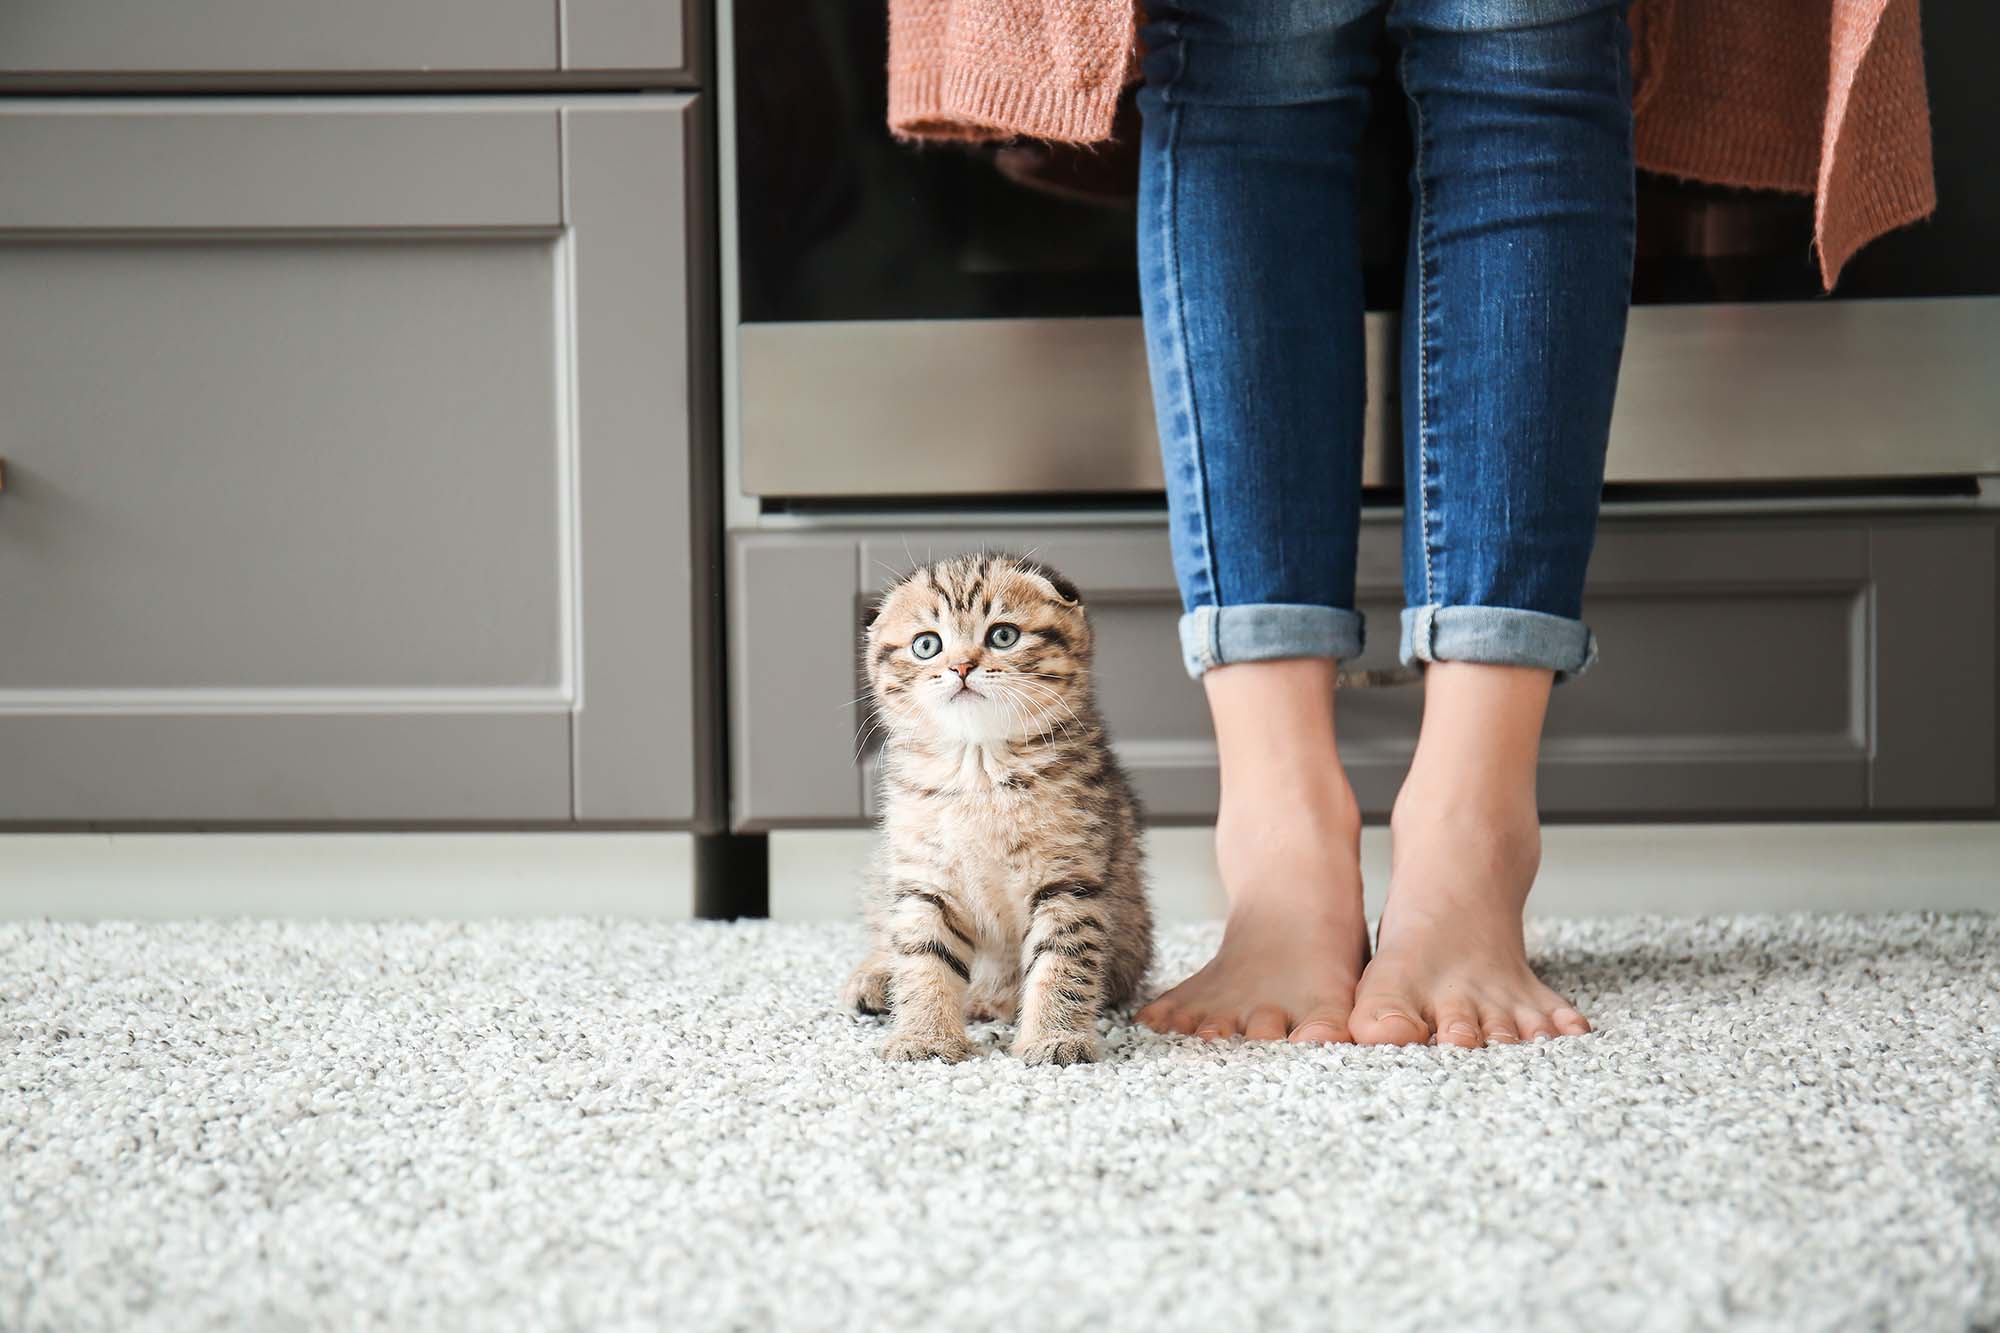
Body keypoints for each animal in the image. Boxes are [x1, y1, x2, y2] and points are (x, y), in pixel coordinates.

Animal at [844, 548, 1160, 1056]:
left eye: (1003, 636)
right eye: (926, 645)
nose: (961, 667)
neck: (979, 769)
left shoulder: (1067, 876)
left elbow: (1062, 959)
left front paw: (1054, 1036)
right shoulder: (924, 874)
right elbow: (922, 955)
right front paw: (925, 1037)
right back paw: (876, 979)